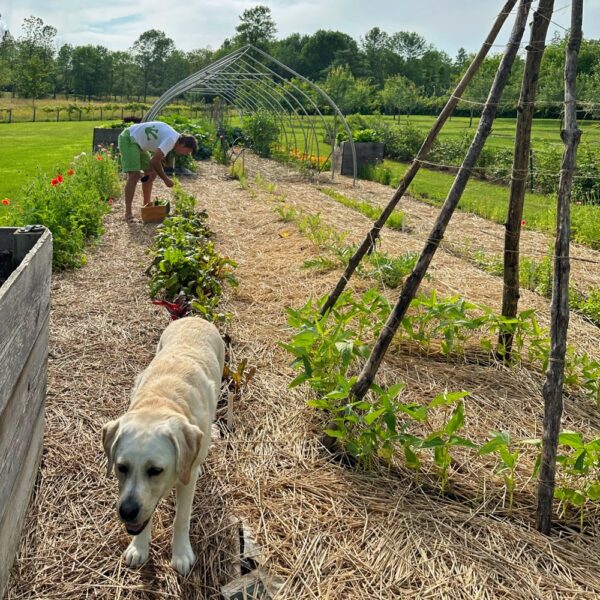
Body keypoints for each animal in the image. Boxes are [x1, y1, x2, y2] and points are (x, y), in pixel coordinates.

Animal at [102, 316, 224, 576]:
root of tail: (194, 316)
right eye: (121, 467)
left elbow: (181, 518)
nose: (126, 511)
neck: (161, 403)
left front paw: (181, 553)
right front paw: (139, 547)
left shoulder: (189, 477)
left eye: (155, 471)